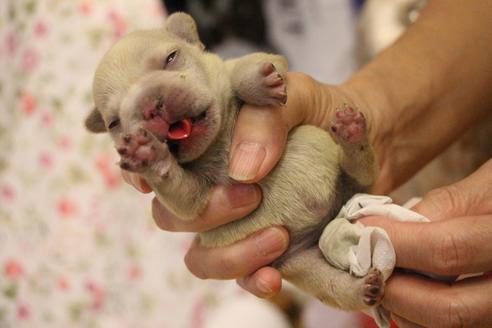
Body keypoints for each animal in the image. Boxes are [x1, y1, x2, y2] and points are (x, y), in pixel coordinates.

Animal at [85, 12, 380, 310]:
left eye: (171, 57)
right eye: (114, 122)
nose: (149, 107)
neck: (215, 142)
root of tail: (332, 215)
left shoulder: (255, 61)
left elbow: (245, 68)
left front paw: (258, 84)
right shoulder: (193, 198)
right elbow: (181, 192)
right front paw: (148, 154)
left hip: (350, 178)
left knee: (364, 171)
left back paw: (352, 135)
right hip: (304, 265)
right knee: (337, 288)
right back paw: (363, 289)